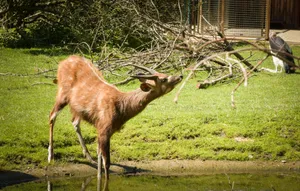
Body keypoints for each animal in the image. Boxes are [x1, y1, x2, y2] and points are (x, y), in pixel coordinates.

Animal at [48, 54, 183, 179]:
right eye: (164, 79)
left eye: (164, 73)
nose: (180, 76)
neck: (121, 107)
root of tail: (63, 61)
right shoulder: (103, 128)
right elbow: (107, 163)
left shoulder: (105, 130)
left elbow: (100, 159)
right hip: (62, 93)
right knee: (51, 116)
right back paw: (50, 157)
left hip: (77, 109)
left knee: (74, 121)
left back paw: (88, 157)